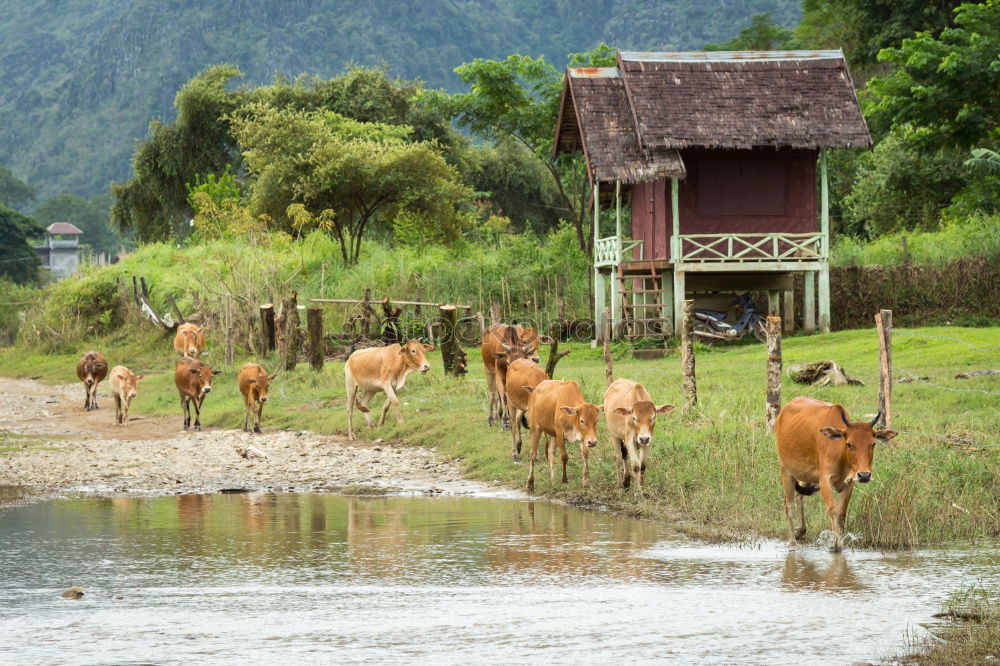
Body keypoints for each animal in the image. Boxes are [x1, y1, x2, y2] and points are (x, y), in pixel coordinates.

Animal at [772, 396, 900, 548]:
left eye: (872, 444)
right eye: (849, 444)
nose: (864, 475)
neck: (840, 454)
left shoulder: (850, 482)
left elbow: (841, 513)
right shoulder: (824, 480)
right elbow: (833, 510)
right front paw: (835, 544)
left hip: (805, 474)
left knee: (799, 495)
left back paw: (800, 531)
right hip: (785, 470)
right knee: (789, 505)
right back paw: (792, 540)